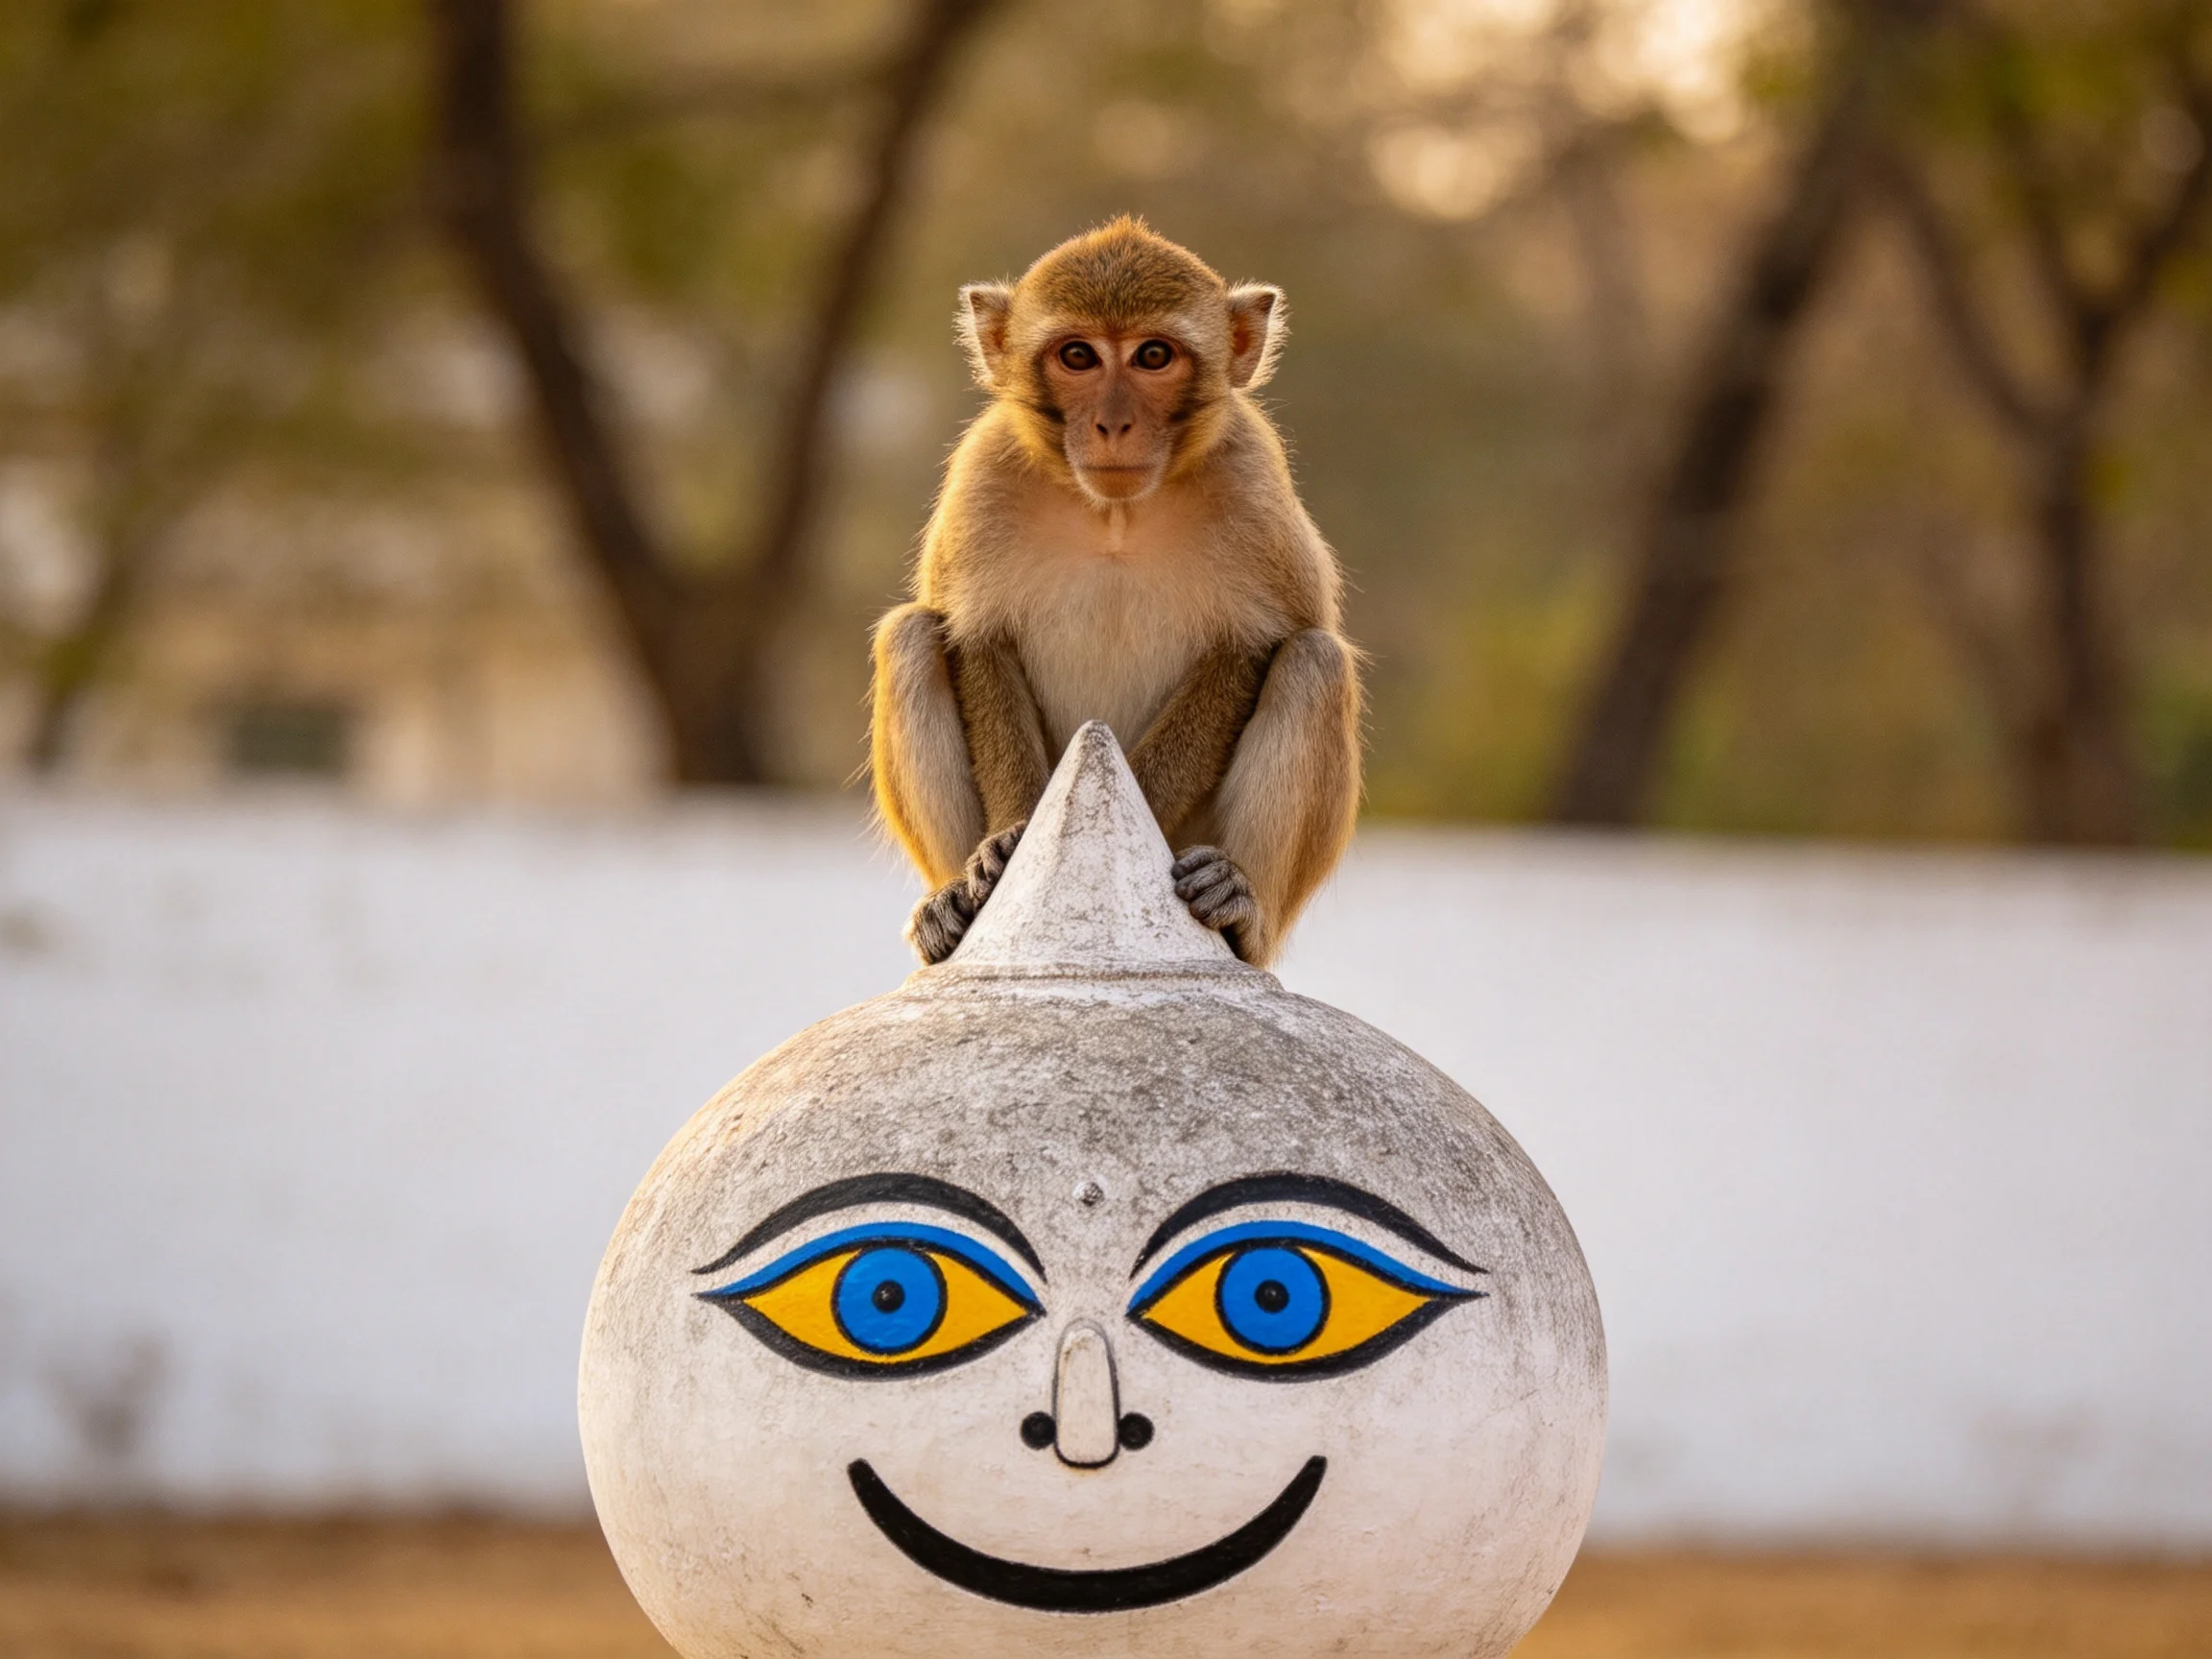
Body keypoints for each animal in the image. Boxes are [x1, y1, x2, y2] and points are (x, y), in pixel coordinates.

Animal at [870, 216, 1361, 969]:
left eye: (1153, 355)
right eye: (1078, 356)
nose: (1113, 425)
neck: (1115, 515)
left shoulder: (1251, 481)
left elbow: (1259, 643)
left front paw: (1141, 814)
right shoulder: (985, 474)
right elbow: (976, 639)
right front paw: (1005, 844)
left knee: (1314, 661)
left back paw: (1242, 910)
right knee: (911, 635)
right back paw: (953, 905)